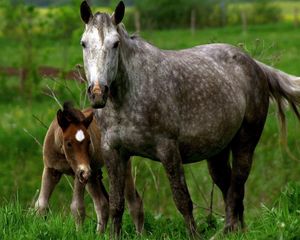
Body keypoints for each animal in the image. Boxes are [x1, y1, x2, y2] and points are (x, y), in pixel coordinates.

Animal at [79, 0, 300, 238]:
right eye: (84, 43)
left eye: (115, 44)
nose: (98, 92)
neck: (129, 96)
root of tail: (255, 65)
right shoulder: (113, 152)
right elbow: (116, 204)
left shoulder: (168, 149)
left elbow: (182, 200)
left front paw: (194, 235)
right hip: (217, 152)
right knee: (230, 188)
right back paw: (238, 230)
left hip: (245, 143)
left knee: (236, 187)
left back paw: (226, 231)